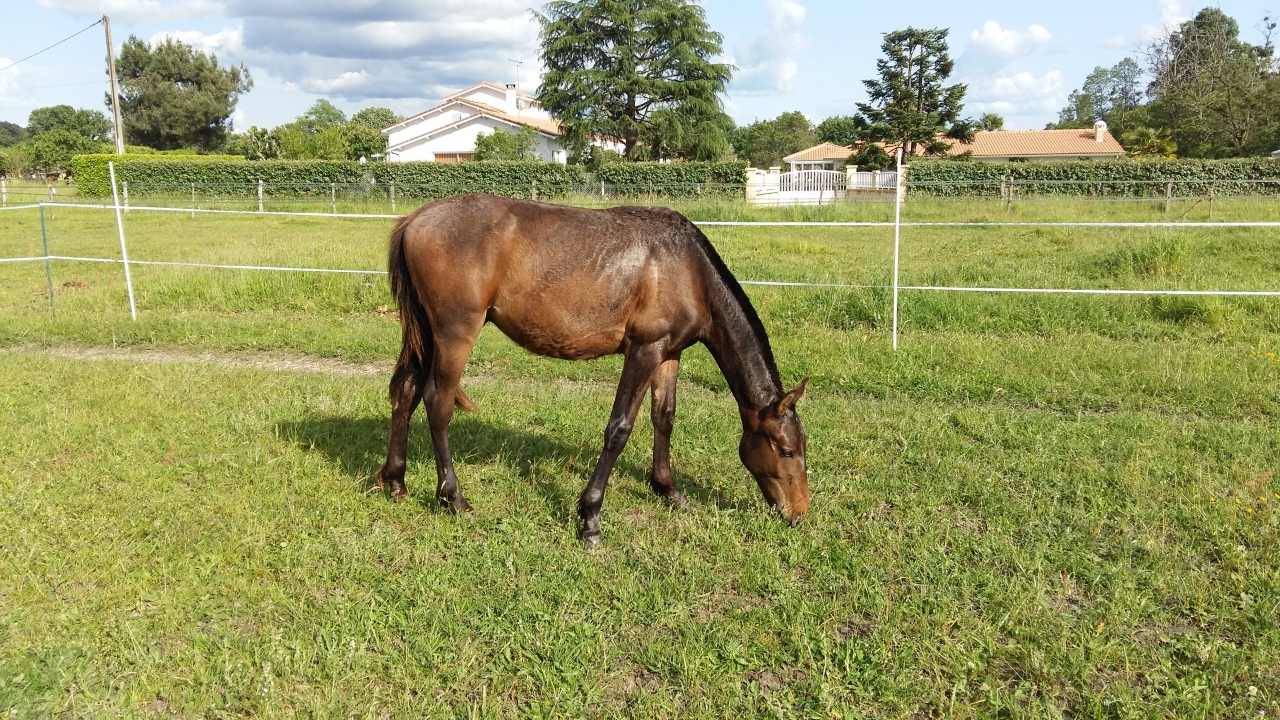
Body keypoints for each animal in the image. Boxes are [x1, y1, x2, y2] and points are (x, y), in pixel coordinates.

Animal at [374, 194, 809, 547]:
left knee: (406, 392)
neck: (686, 268)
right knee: (437, 403)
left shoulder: (669, 353)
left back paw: (395, 480)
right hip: (455, 334)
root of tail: (415, 219)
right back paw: (453, 497)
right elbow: (619, 430)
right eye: (786, 450)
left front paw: (668, 490)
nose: (799, 513)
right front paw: (590, 517)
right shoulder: (644, 350)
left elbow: (664, 418)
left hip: (427, 336)